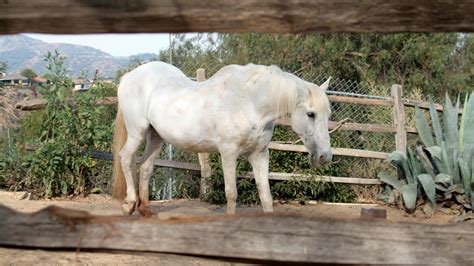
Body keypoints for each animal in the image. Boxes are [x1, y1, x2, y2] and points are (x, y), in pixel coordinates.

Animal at [111, 61, 334, 217]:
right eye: (311, 114)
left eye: (328, 114)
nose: (325, 157)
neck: (249, 102)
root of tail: (129, 76)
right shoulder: (228, 152)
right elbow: (231, 193)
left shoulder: (259, 154)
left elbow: (266, 196)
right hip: (137, 132)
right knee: (126, 158)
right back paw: (129, 205)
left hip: (156, 136)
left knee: (145, 167)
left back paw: (146, 211)